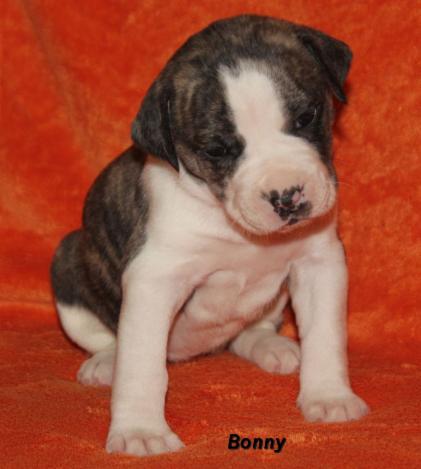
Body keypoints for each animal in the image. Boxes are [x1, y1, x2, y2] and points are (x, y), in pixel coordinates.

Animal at [51, 14, 369, 457]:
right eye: (217, 150)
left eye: (307, 117)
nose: (286, 196)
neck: (230, 222)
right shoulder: (154, 280)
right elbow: (142, 365)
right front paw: (140, 430)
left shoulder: (318, 263)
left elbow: (326, 334)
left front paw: (329, 396)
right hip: (67, 261)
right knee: (108, 339)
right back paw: (105, 364)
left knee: (248, 331)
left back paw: (270, 347)